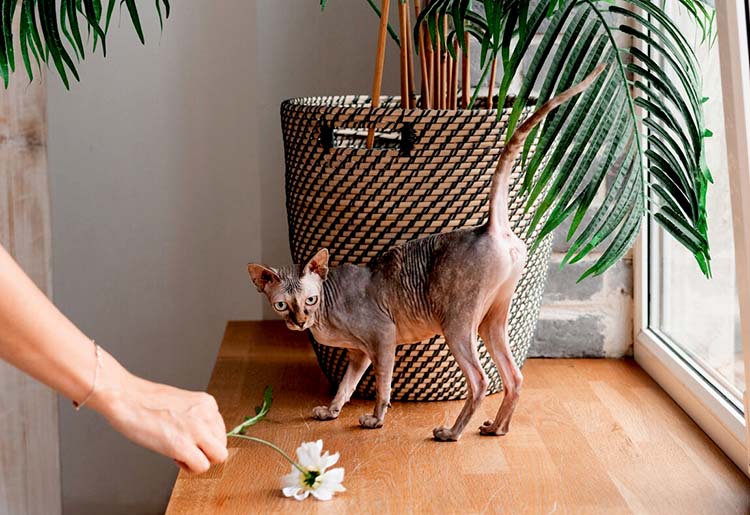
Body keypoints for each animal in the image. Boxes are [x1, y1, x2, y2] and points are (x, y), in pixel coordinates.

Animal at [250, 63, 608, 444]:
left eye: (310, 299)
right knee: (514, 376)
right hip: (493, 317)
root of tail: (490, 227)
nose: (299, 320)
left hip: (457, 321)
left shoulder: (383, 337)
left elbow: (382, 386)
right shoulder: (358, 353)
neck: (325, 314)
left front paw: (376, 419)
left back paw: (452, 433)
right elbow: (345, 386)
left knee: (480, 379)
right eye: (281, 305)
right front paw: (330, 412)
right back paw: (497, 428)